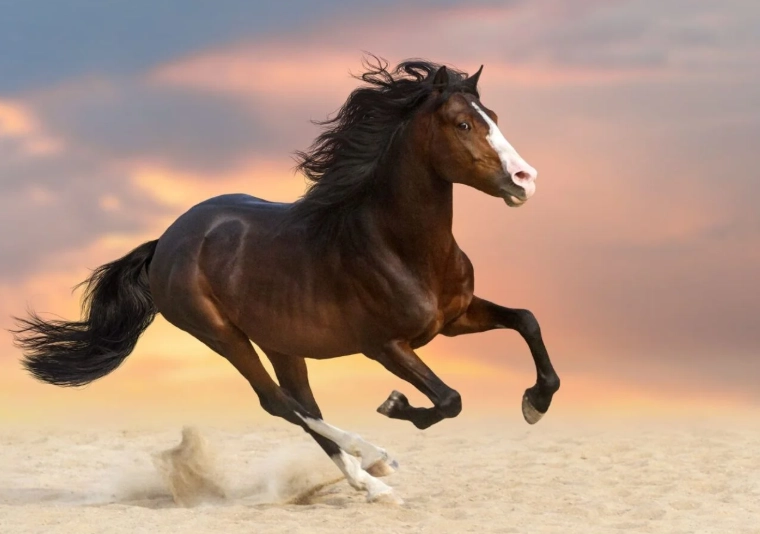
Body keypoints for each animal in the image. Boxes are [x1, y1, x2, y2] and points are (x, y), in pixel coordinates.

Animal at [12, 57, 560, 503]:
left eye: (495, 118)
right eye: (463, 123)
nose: (526, 180)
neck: (397, 245)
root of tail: (165, 241)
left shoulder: (454, 318)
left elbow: (528, 320)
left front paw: (535, 402)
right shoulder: (385, 346)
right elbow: (449, 400)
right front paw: (395, 405)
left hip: (281, 342)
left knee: (299, 402)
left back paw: (369, 478)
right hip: (222, 335)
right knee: (279, 403)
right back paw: (376, 463)